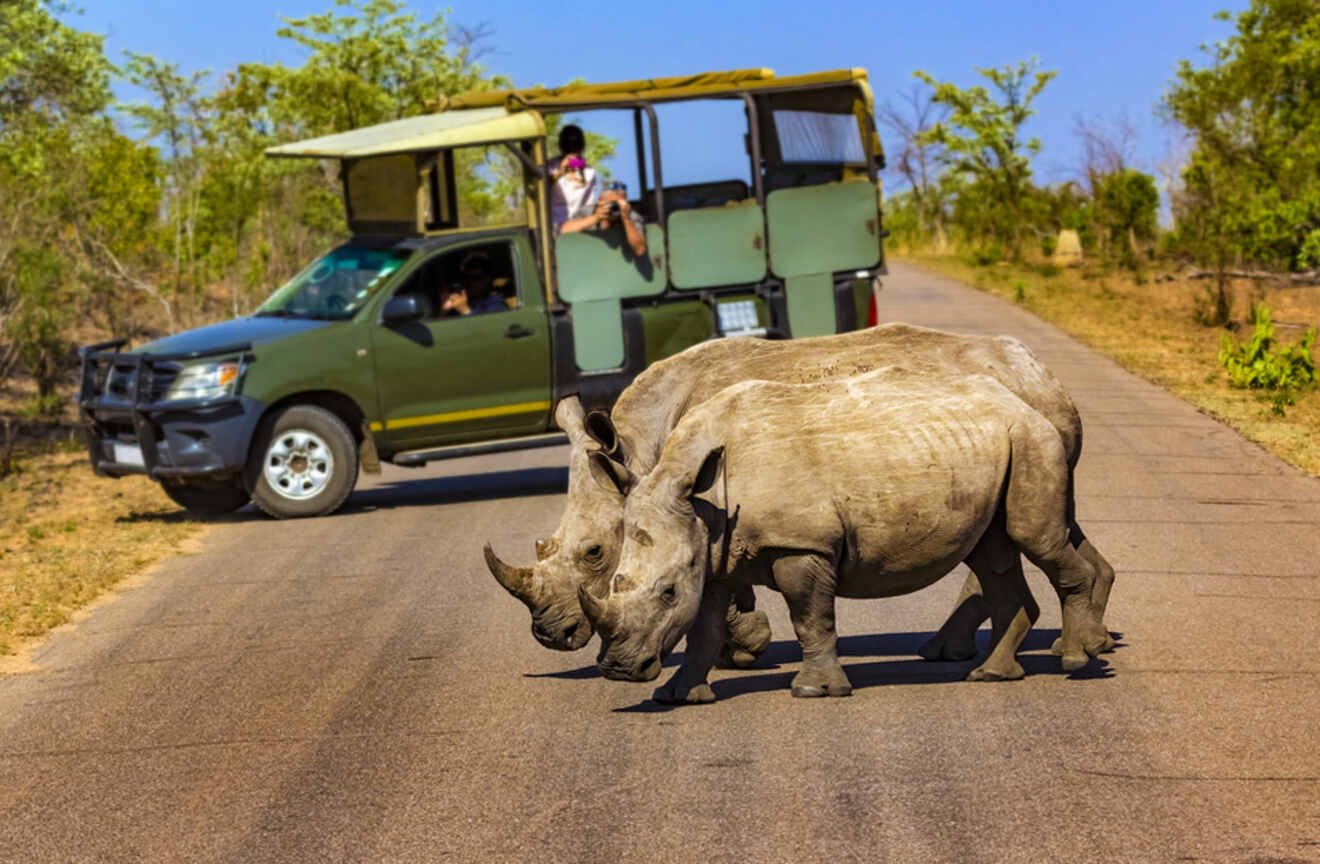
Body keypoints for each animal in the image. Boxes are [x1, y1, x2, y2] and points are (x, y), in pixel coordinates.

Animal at [583, 371, 1108, 701]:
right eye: (615, 582)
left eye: (668, 592)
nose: (617, 669)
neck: (702, 497)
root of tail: (1024, 400)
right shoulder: (714, 553)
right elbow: (704, 630)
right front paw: (677, 696)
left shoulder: (800, 543)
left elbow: (810, 618)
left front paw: (812, 690)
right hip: (997, 444)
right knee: (991, 552)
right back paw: (990, 675)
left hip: (1032, 439)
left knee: (1033, 536)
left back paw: (1075, 662)